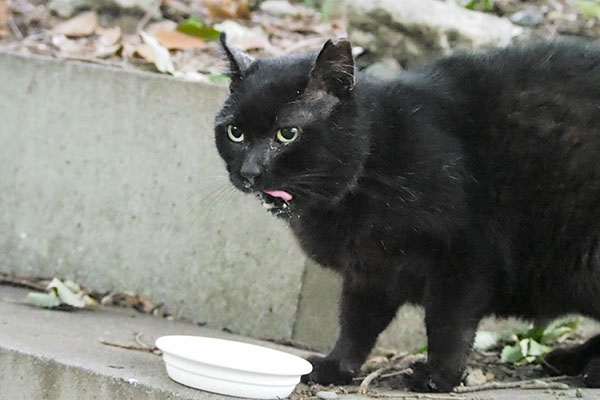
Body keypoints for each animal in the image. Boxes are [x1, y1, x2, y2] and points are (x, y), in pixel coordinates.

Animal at [213, 32, 600, 392]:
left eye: (287, 133)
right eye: (235, 132)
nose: (249, 172)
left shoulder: (464, 257)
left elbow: (447, 325)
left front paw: (439, 377)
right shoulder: (371, 269)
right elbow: (356, 323)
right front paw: (336, 367)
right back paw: (571, 360)